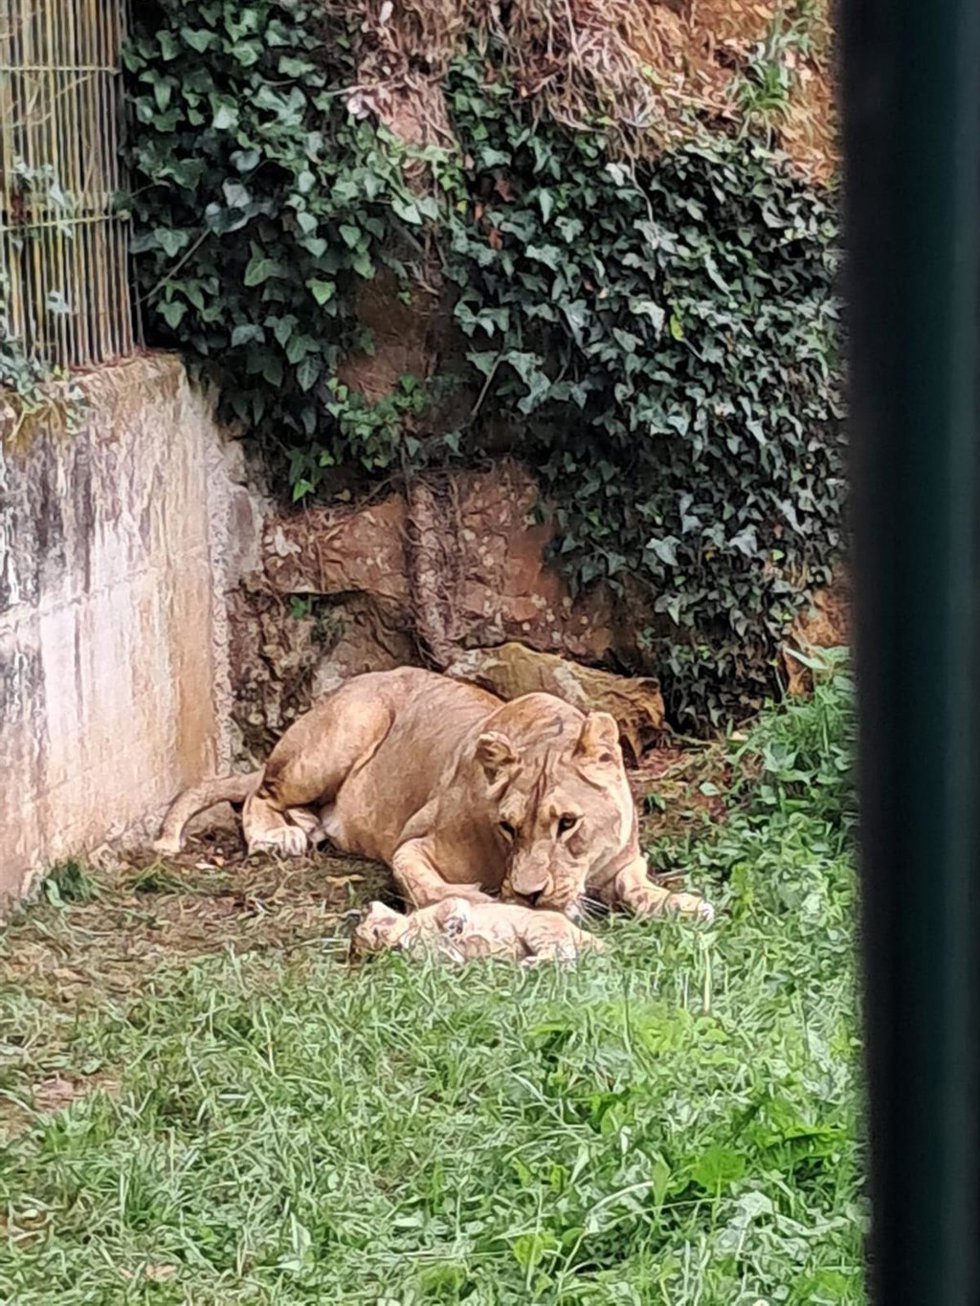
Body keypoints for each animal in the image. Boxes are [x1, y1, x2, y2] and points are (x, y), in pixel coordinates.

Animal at [155, 667, 713, 923]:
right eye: (508, 826)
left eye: (568, 823)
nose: (530, 896)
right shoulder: (414, 841)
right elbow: (422, 883)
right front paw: (477, 899)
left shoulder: (623, 858)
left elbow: (637, 884)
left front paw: (681, 903)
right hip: (346, 728)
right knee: (257, 792)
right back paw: (279, 837)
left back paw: (308, 826)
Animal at [351, 897, 605, 965]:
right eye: (373, 952)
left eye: (376, 932)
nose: (392, 948)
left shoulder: (445, 905)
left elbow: (451, 906)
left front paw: (455, 926)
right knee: (566, 957)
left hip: (535, 927)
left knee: (563, 953)